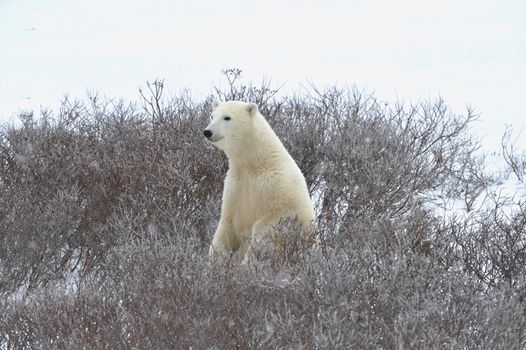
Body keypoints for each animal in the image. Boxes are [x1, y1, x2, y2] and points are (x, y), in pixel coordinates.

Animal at [204, 100, 316, 262]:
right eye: (212, 116)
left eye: (227, 117)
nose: (208, 132)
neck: (256, 163)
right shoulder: (235, 186)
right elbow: (226, 224)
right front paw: (215, 260)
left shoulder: (277, 186)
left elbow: (266, 228)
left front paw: (248, 261)